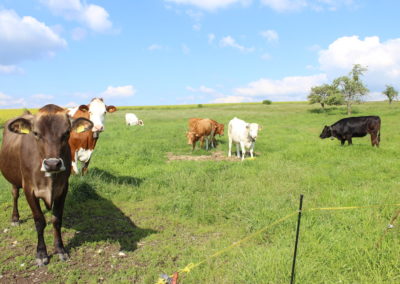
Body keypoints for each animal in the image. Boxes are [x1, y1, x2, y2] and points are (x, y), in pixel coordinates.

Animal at [0, 105, 93, 266]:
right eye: (36, 133)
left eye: (67, 132)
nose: (52, 164)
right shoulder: (29, 189)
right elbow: (39, 221)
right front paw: (42, 253)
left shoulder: (63, 189)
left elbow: (56, 220)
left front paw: (60, 249)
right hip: (14, 180)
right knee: (15, 195)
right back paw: (15, 218)